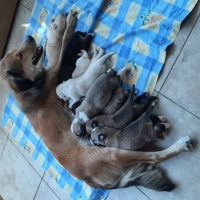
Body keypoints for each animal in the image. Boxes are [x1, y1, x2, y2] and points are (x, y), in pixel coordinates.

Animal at [0, 9, 194, 192]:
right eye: (20, 56)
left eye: (16, 52)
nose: (30, 36)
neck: (25, 89)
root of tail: (93, 182)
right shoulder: (55, 71)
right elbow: (64, 43)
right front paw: (69, 23)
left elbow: (59, 45)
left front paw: (62, 24)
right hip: (113, 152)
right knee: (154, 156)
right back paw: (179, 144)